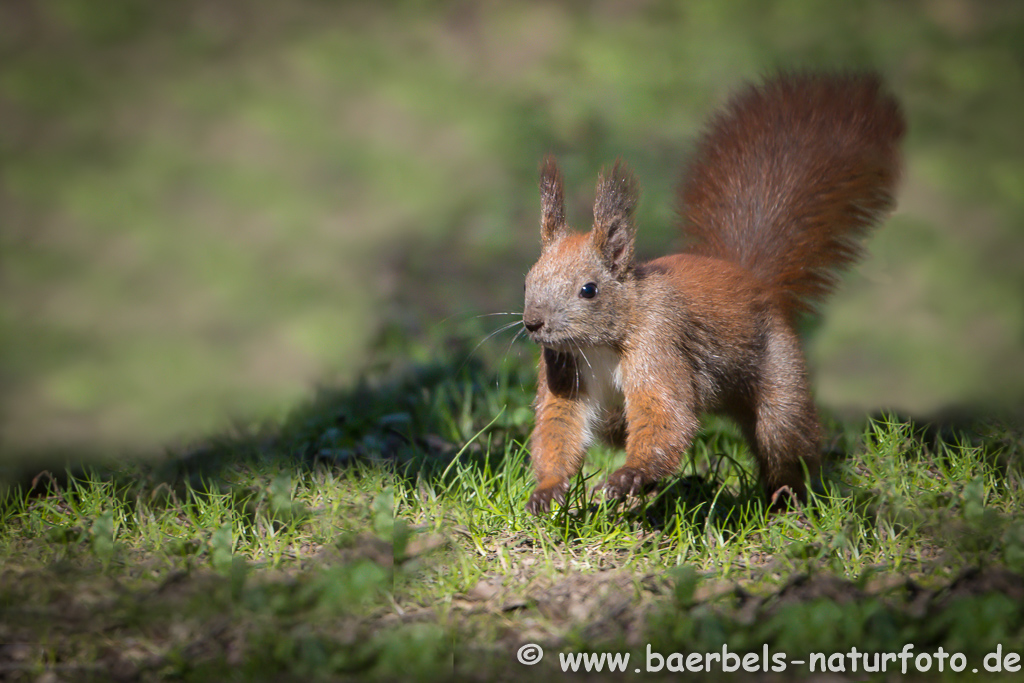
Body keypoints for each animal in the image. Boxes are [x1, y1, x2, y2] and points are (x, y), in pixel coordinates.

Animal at [520, 72, 905, 516]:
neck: (599, 343)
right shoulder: (563, 367)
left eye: (589, 289)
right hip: (620, 417)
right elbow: (559, 425)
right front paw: (548, 490)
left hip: (780, 380)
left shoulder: (659, 342)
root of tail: (752, 278)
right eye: (528, 280)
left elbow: (666, 414)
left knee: (786, 440)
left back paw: (789, 501)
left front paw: (628, 476)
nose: (533, 323)